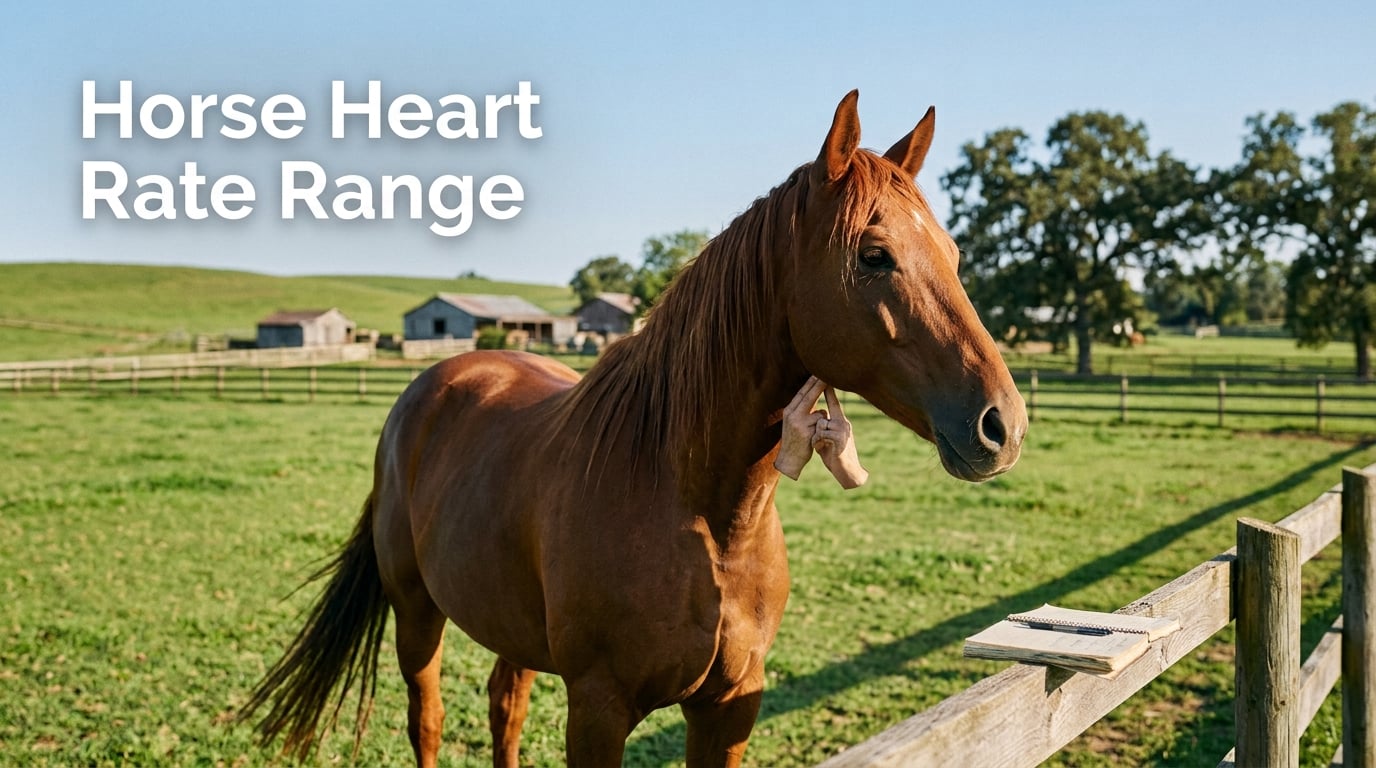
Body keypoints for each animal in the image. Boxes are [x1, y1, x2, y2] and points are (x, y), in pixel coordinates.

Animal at [240, 90, 1028, 767]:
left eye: (954, 255)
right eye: (873, 255)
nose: (1003, 425)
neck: (698, 511)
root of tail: (429, 389)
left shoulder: (730, 708)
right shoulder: (599, 707)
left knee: (503, 708)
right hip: (416, 611)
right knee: (426, 720)